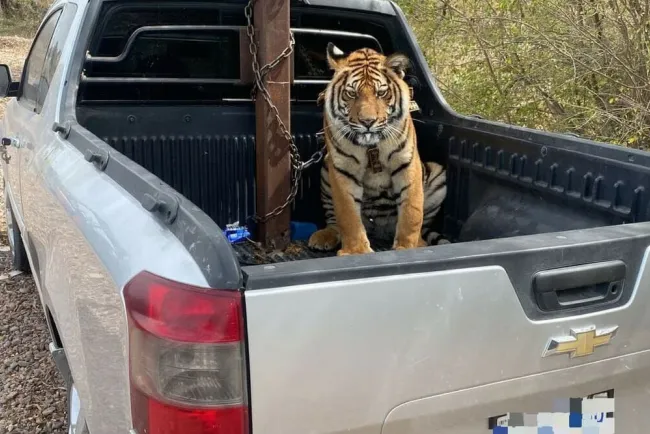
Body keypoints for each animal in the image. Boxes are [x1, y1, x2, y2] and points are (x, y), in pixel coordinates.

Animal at [307, 43, 448, 256]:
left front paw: (407, 247)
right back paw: (325, 236)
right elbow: (348, 215)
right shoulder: (342, 169)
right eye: (352, 94)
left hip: (437, 173)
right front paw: (356, 251)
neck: (371, 146)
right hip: (325, 168)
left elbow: (412, 212)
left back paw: (421, 242)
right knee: (333, 220)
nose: (368, 122)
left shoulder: (407, 163)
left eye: (381, 93)